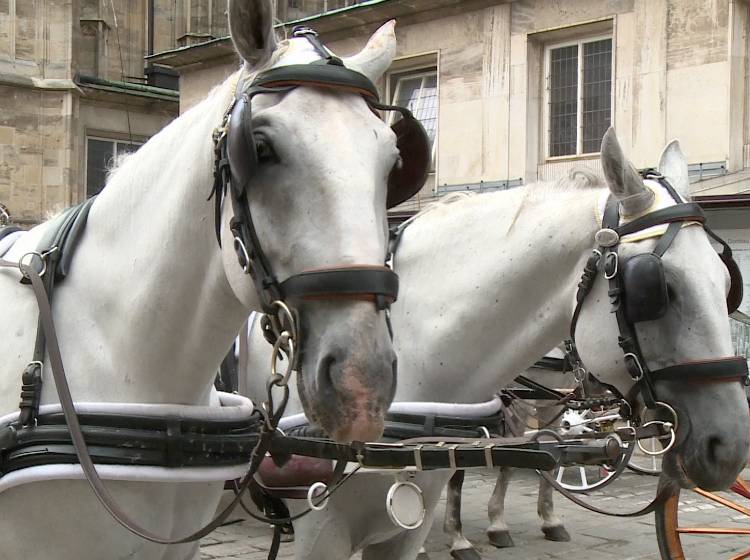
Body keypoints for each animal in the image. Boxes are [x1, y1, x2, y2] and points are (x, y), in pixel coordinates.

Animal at [247, 128, 750, 560]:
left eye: (727, 282)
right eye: (659, 287)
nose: (730, 447)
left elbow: (529, 460)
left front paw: (530, 522)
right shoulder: (322, 527)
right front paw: (466, 537)